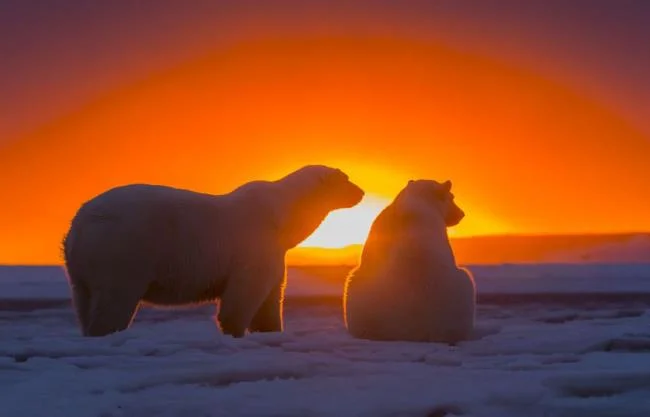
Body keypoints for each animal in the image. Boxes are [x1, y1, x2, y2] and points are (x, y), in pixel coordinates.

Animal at [63, 165, 364, 337]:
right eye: (346, 179)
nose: (361, 192)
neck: (282, 217)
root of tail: (80, 224)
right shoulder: (253, 246)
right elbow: (245, 294)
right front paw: (234, 331)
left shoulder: (275, 252)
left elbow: (271, 296)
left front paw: (270, 329)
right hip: (124, 249)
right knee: (116, 298)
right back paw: (106, 332)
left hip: (81, 268)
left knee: (84, 300)